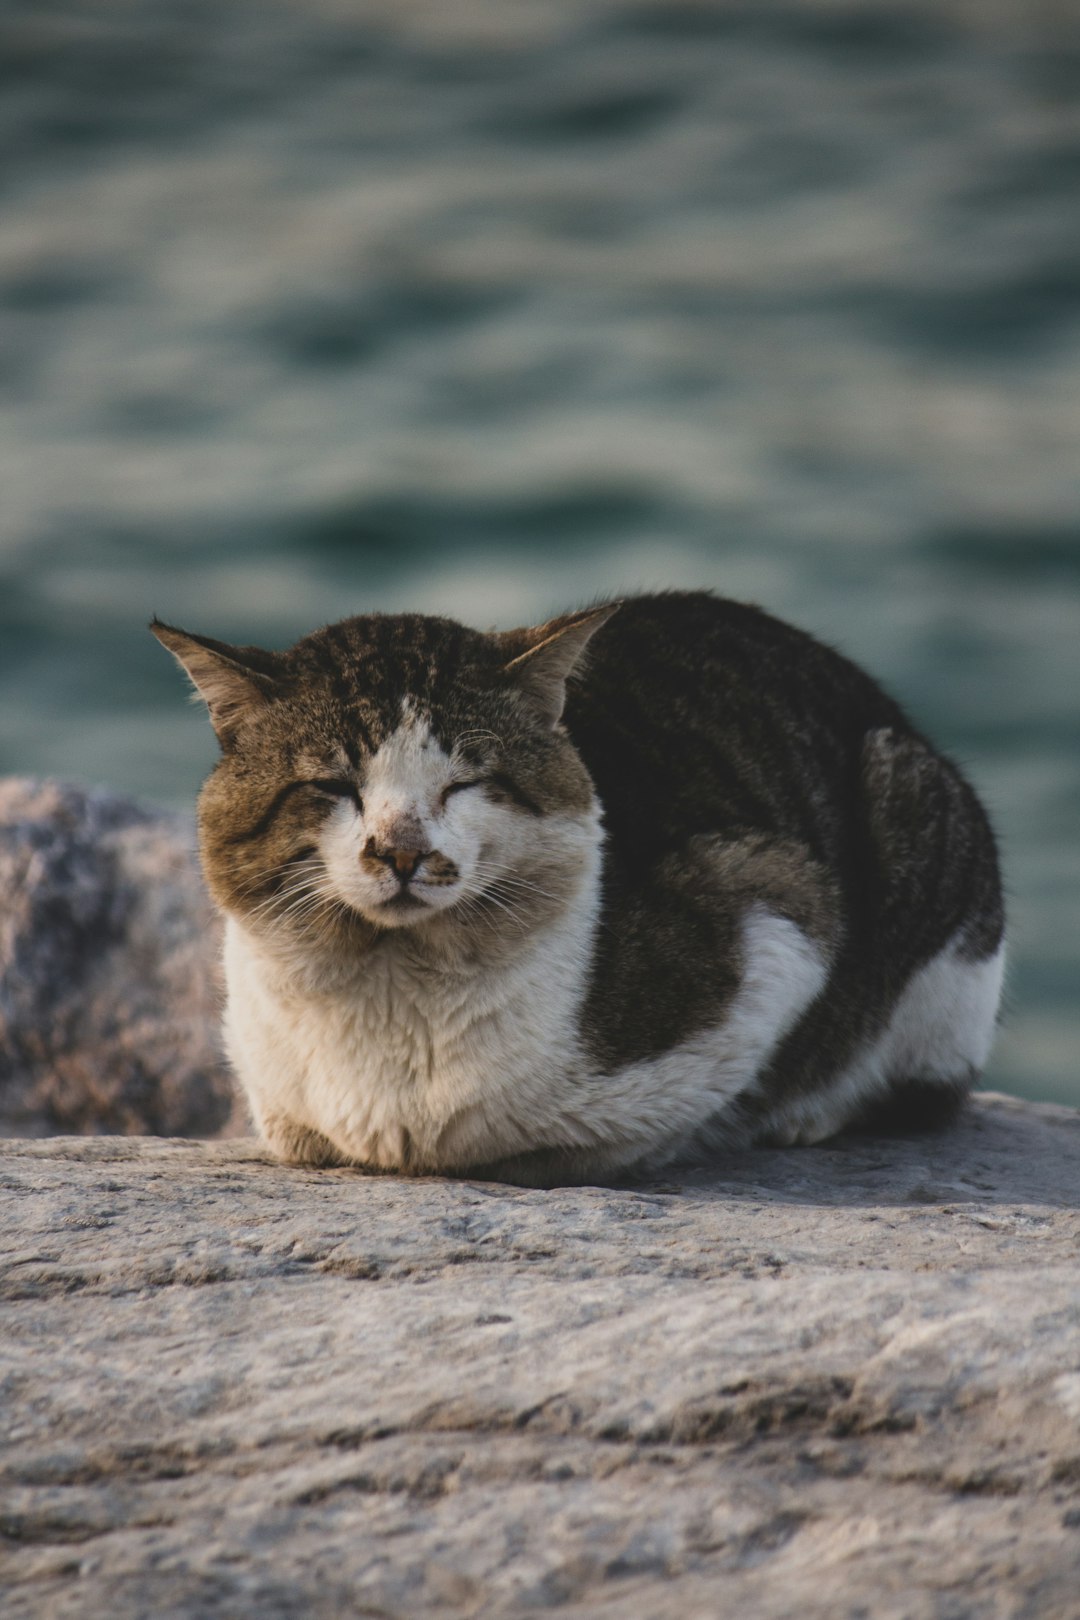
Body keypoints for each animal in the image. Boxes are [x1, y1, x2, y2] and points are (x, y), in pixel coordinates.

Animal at [152, 589, 1003, 1185]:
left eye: (465, 783)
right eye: (332, 786)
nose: (401, 852)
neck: (393, 988)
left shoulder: (780, 911)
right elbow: (301, 1137)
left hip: (917, 814)